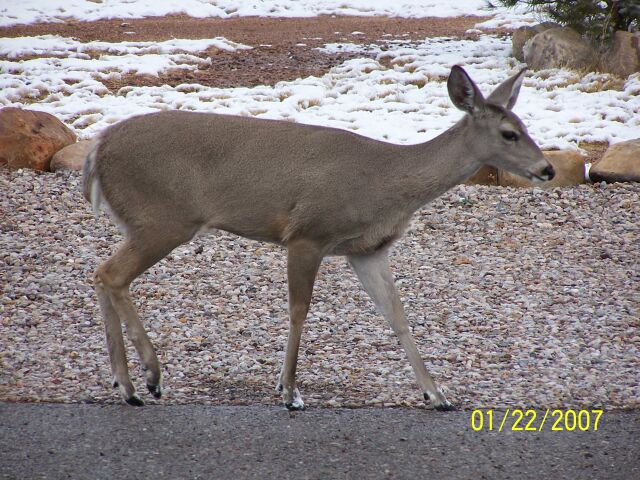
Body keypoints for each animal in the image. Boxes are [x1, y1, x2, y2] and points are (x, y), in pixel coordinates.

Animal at [83, 65, 554, 411]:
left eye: (526, 125)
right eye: (509, 133)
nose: (547, 169)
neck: (385, 183)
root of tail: (98, 147)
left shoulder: (367, 251)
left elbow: (397, 317)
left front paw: (436, 394)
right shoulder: (308, 233)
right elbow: (299, 311)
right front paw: (290, 392)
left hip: (144, 221)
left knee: (101, 274)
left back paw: (125, 384)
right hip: (164, 217)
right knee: (112, 275)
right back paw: (150, 377)